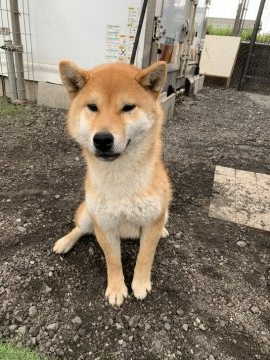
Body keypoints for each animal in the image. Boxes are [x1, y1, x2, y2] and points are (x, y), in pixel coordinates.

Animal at [53, 59, 172, 306]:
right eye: (92, 107)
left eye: (128, 107)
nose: (102, 139)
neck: (121, 179)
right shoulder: (104, 225)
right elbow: (113, 261)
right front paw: (117, 288)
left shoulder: (152, 221)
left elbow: (145, 257)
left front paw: (140, 284)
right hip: (88, 214)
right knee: (80, 228)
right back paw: (65, 242)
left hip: (165, 211)